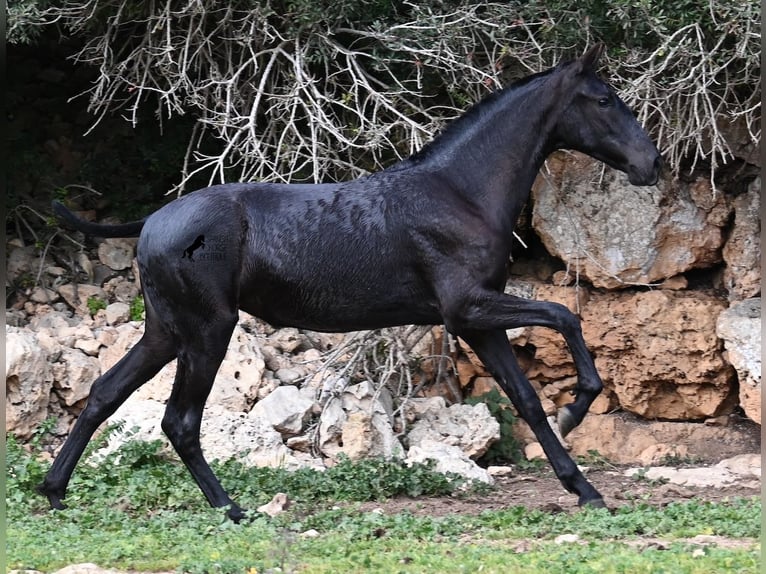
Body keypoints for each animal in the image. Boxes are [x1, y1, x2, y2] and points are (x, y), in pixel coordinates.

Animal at [39, 45, 664, 520]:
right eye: (604, 100)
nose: (651, 164)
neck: (460, 191)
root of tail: (151, 222)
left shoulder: (477, 323)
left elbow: (528, 400)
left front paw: (584, 488)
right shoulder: (468, 309)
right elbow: (565, 316)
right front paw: (578, 408)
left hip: (166, 332)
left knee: (104, 394)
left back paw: (53, 492)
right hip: (208, 331)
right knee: (180, 421)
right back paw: (232, 509)